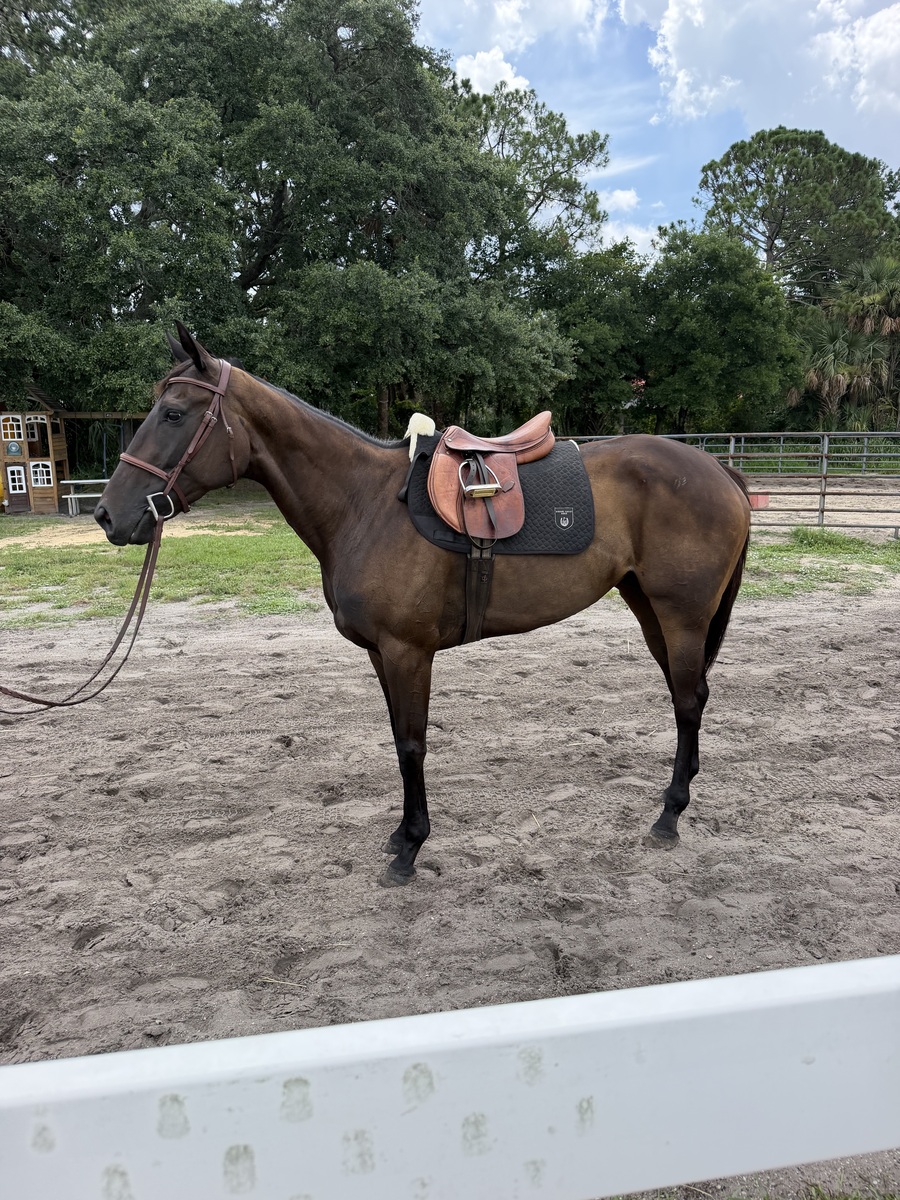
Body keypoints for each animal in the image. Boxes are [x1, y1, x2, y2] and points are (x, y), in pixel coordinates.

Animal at [94, 325, 752, 886]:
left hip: (681, 616)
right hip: (649, 609)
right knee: (687, 696)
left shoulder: (408, 651)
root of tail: (717, 468)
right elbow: (397, 739)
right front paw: (399, 835)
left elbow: (413, 745)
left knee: (688, 700)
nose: (107, 515)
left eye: (174, 414)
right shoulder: (383, 655)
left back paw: (669, 816)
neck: (362, 504)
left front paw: (410, 848)